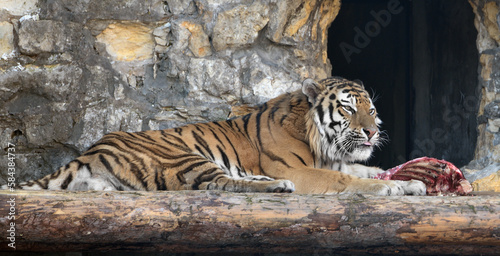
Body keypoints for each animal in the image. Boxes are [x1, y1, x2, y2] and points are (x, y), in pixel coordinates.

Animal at [3, 77, 426, 195]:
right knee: (218, 184)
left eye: (371, 109)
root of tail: (89, 152)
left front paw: (413, 183)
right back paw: (276, 186)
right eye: (349, 109)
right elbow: (346, 180)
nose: (374, 130)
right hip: (184, 156)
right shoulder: (303, 169)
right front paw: (389, 188)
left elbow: (369, 170)